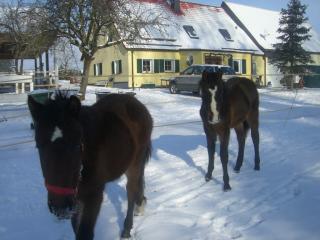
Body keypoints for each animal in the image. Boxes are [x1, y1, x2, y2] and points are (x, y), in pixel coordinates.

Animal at [27, 93, 152, 239]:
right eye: (39, 146)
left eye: (77, 145)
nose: (60, 208)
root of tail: (137, 104)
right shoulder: (76, 198)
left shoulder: (94, 195)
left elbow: (85, 233)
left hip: (135, 164)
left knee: (131, 190)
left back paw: (127, 229)